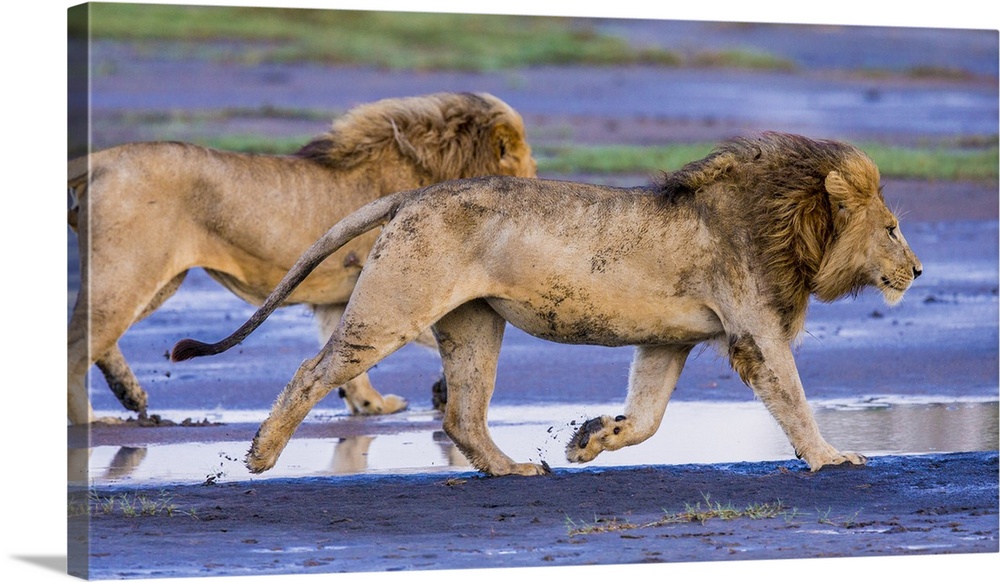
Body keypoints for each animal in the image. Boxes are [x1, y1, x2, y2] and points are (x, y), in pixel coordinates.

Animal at [68, 93, 540, 426]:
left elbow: (348, 357)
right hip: (130, 272)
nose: (540, 185)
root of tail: (103, 158)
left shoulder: (342, 295)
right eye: (529, 162)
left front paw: (370, 404)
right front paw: (430, 392)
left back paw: (130, 394)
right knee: (77, 345)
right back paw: (92, 419)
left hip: (155, 280)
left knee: (95, 339)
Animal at [172, 133, 920, 480]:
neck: (788, 222)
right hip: (394, 309)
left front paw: (592, 438)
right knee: (312, 370)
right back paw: (261, 454)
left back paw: (511, 468)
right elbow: (793, 400)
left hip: (474, 325)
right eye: (891, 228)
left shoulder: (668, 339)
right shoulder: (756, 333)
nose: (916, 268)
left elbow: (648, 416)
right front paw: (831, 458)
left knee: (462, 414)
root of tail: (414, 194)